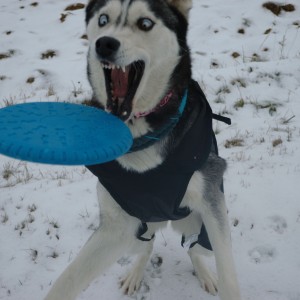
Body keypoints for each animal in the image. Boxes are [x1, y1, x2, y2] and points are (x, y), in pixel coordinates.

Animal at [45, 0, 241, 300]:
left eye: (145, 23)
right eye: (103, 19)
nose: (104, 44)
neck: (141, 137)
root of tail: (161, 221)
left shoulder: (211, 200)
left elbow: (229, 274)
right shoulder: (116, 226)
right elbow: (67, 280)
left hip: (197, 226)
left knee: (193, 248)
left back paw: (205, 274)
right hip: (135, 230)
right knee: (146, 246)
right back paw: (135, 274)